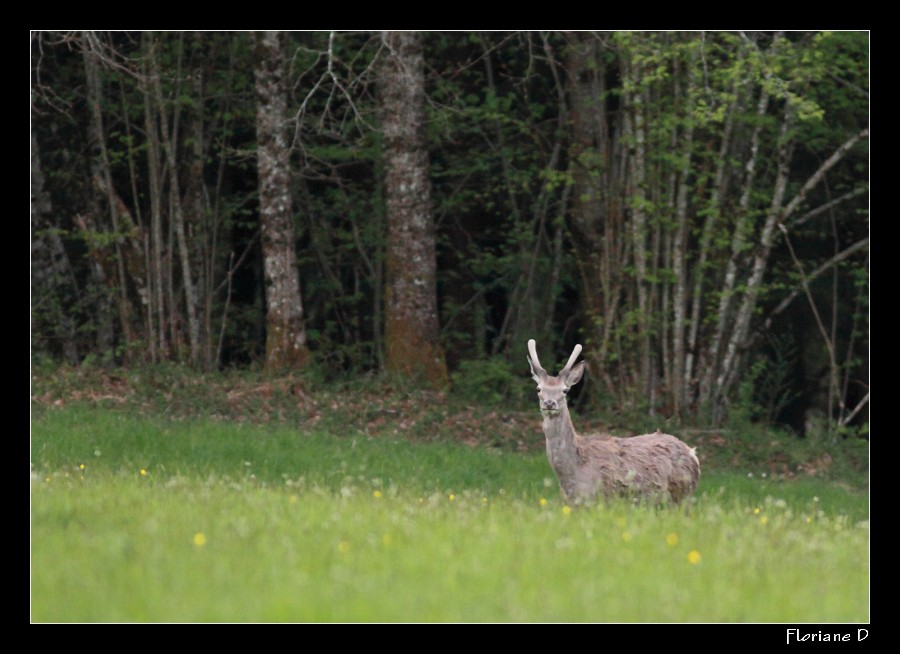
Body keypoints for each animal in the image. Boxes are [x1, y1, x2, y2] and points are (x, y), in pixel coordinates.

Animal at [528, 340, 704, 510]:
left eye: (564, 390)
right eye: (538, 388)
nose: (549, 403)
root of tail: (693, 454)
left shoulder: (604, 498)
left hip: (682, 494)